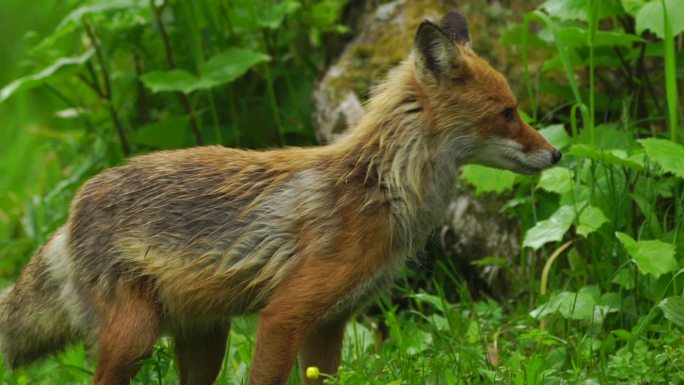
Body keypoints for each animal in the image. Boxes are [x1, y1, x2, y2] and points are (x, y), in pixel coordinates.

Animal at [0, 10, 560, 384]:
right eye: (507, 112)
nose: (555, 153)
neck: (379, 189)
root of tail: (69, 214)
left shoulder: (331, 324)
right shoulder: (285, 314)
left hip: (206, 338)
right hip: (135, 338)